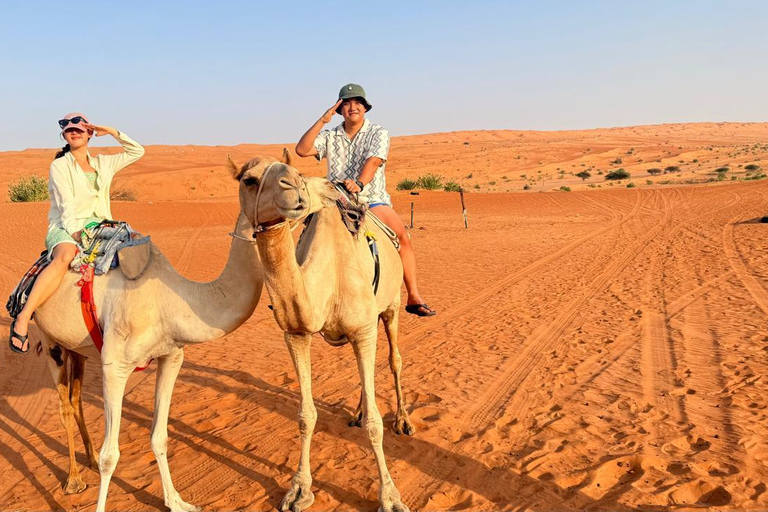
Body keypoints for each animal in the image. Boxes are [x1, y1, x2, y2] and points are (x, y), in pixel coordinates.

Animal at [31, 207, 263, 512]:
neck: (168, 300)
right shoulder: (115, 367)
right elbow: (110, 457)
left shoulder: (171, 356)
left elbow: (160, 437)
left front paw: (176, 501)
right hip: (50, 340)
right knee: (65, 406)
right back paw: (73, 480)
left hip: (77, 348)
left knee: (76, 398)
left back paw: (88, 459)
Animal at [230, 150, 412, 512]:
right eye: (248, 180)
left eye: (295, 173)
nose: (293, 190)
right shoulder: (297, 333)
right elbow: (305, 415)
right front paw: (299, 490)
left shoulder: (364, 329)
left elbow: (375, 424)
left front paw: (390, 496)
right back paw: (357, 412)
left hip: (391, 306)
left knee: (394, 359)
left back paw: (402, 420)